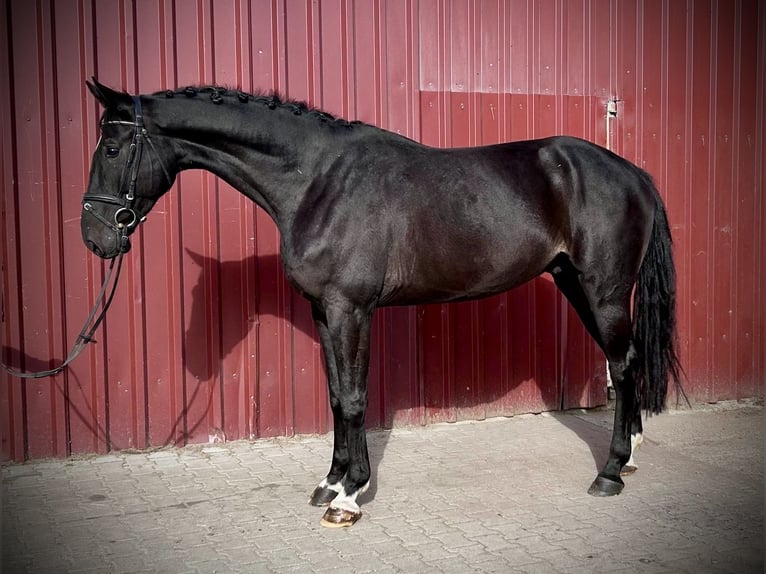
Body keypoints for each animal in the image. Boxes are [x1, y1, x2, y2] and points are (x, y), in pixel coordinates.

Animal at [84, 80, 684, 532]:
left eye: (111, 149)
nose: (97, 238)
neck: (318, 180)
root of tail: (633, 173)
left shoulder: (351, 309)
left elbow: (354, 398)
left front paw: (349, 497)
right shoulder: (323, 311)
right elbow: (334, 397)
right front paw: (328, 483)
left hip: (604, 290)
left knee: (622, 365)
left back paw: (609, 472)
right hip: (574, 284)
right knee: (626, 363)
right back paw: (629, 456)